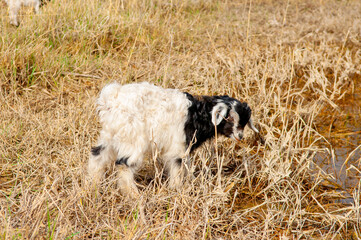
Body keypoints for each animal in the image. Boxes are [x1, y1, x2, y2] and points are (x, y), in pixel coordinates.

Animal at [89, 81, 258, 196]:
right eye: (228, 118)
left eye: (244, 122)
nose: (240, 136)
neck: (198, 115)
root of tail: (111, 100)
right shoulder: (178, 147)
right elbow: (177, 167)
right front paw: (176, 189)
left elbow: (186, 166)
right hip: (133, 139)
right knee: (124, 164)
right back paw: (133, 195)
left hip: (110, 135)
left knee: (97, 156)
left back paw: (91, 186)